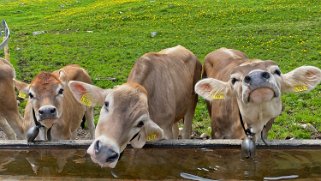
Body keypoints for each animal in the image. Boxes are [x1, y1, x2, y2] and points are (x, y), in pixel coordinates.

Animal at [69, 45, 201, 167]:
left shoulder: (165, 132)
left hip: (192, 102)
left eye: (141, 123)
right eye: (106, 104)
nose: (104, 153)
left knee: (186, 131)